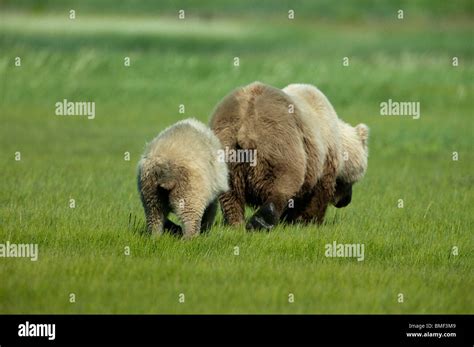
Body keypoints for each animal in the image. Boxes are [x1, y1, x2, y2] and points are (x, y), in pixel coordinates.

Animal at [209, 82, 368, 231]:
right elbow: (318, 194)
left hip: (226, 144)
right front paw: (309, 222)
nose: (346, 200)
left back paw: (235, 223)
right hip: (279, 144)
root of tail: (246, 126)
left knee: (230, 194)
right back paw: (260, 223)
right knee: (282, 185)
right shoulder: (322, 156)